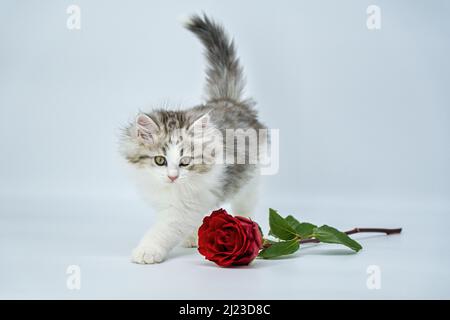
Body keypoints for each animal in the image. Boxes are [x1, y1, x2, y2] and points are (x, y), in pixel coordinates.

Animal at [119, 14, 268, 264]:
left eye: (185, 162)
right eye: (160, 160)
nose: (173, 177)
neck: (171, 190)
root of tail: (229, 100)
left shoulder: (185, 206)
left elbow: (164, 229)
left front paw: (147, 251)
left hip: (252, 178)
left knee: (245, 204)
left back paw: (247, 225)